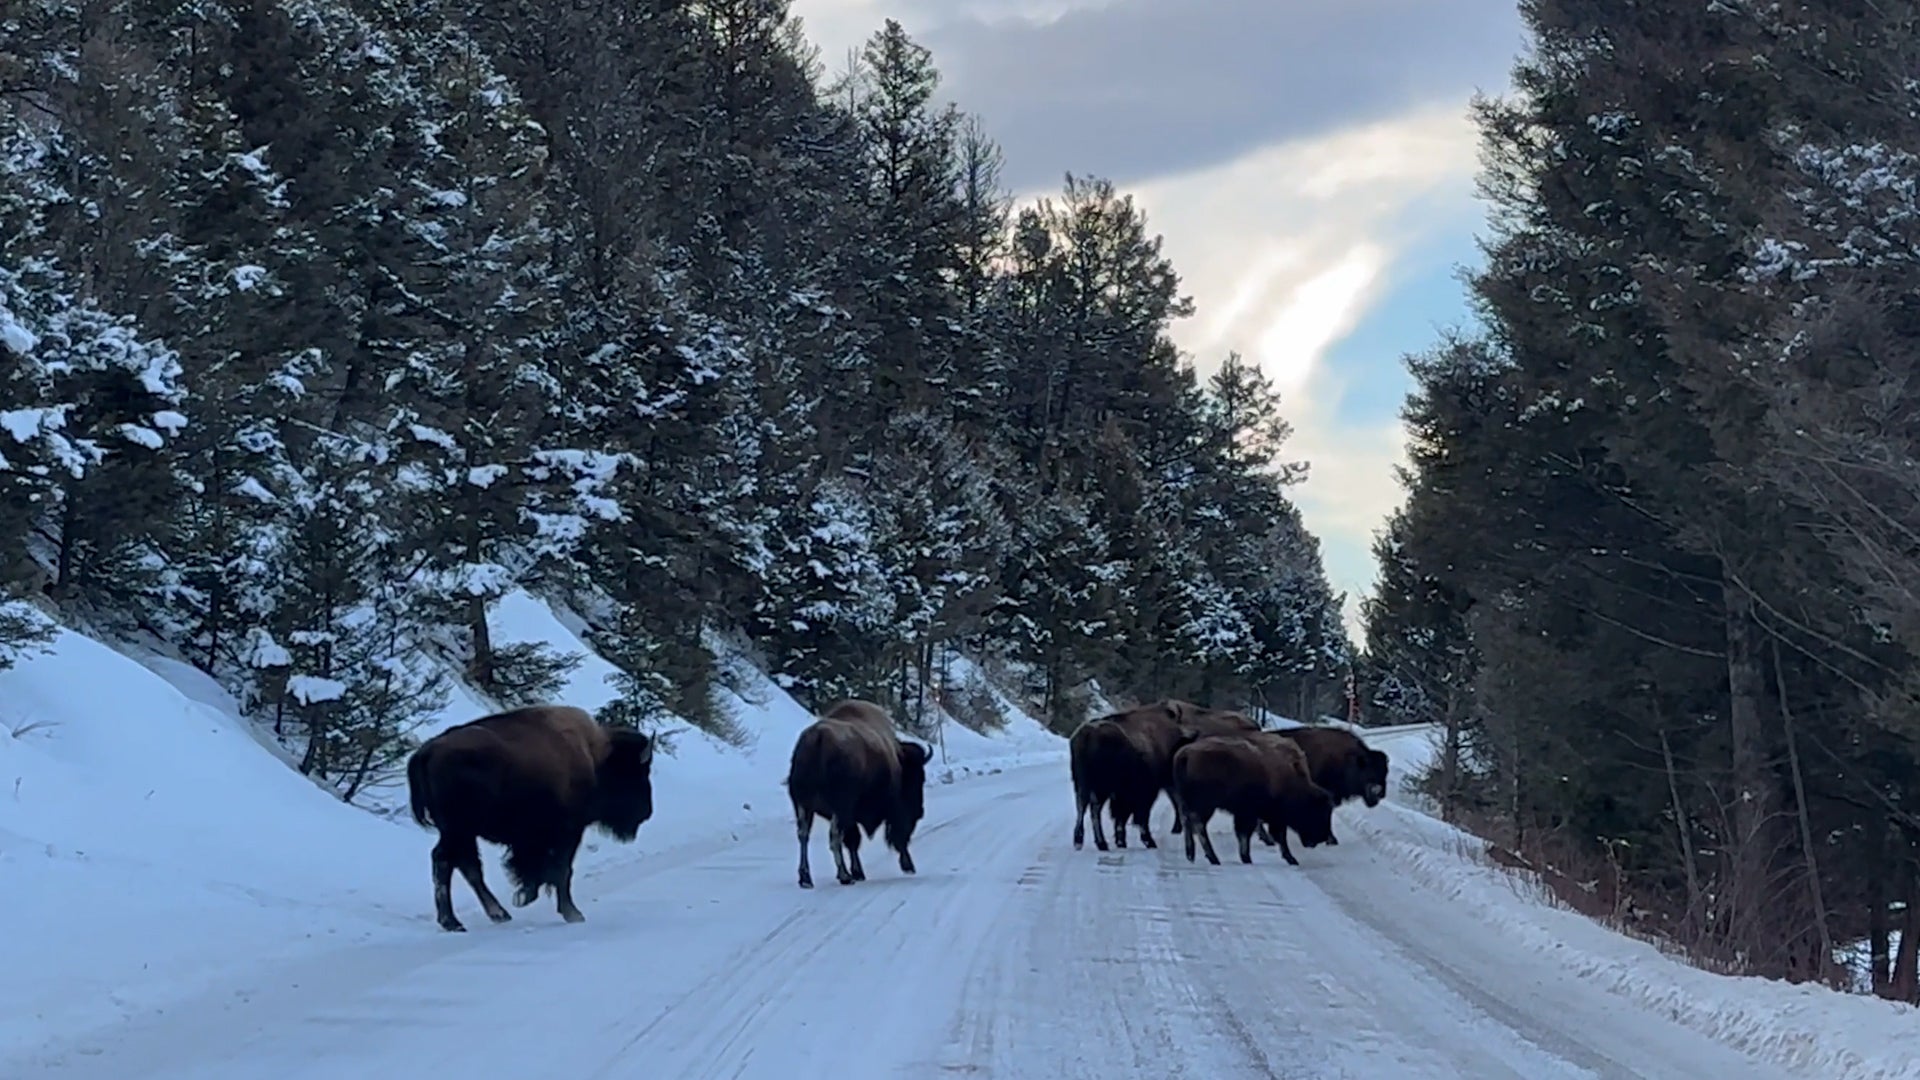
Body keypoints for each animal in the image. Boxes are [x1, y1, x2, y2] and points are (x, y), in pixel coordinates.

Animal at [406, 704, 656, 932]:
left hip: (461, 832)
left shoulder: (535, 838)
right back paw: (454, 921)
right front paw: (571, 913)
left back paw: (496, 914)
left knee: (465, 865)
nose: (647, 812)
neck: (594, 758)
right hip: (458, 829)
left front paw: (525, 895)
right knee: (447, 861)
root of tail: (426, 752)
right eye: (636, 773)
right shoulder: (568, 832)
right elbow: (561, 870)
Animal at [787, 699, 934, 888]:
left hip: (804, 805)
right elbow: (897, 835)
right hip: (838, 808)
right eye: (918, 777)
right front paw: (908, 866)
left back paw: (806, 878)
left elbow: (853, 841)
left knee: (804, 834)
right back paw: (844, 876)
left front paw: (859, 872)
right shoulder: (891, 810)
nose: (919, 811)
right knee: (834, 836)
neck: (897, 759)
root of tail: (818, 739)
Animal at [1171, 732, 1335, 866]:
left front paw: (1246, 857)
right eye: (1318, 812)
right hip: (1205, 805)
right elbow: (1274, 836)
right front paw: (1290, 858)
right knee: (1199, 825)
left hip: (1188, 803)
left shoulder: (1248, 814)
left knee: (1187, 821)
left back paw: (1191, 855)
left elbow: (1246, 833)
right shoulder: (1258, 814)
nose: (1321, 838)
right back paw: (1213, 858)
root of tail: (1185, 754)